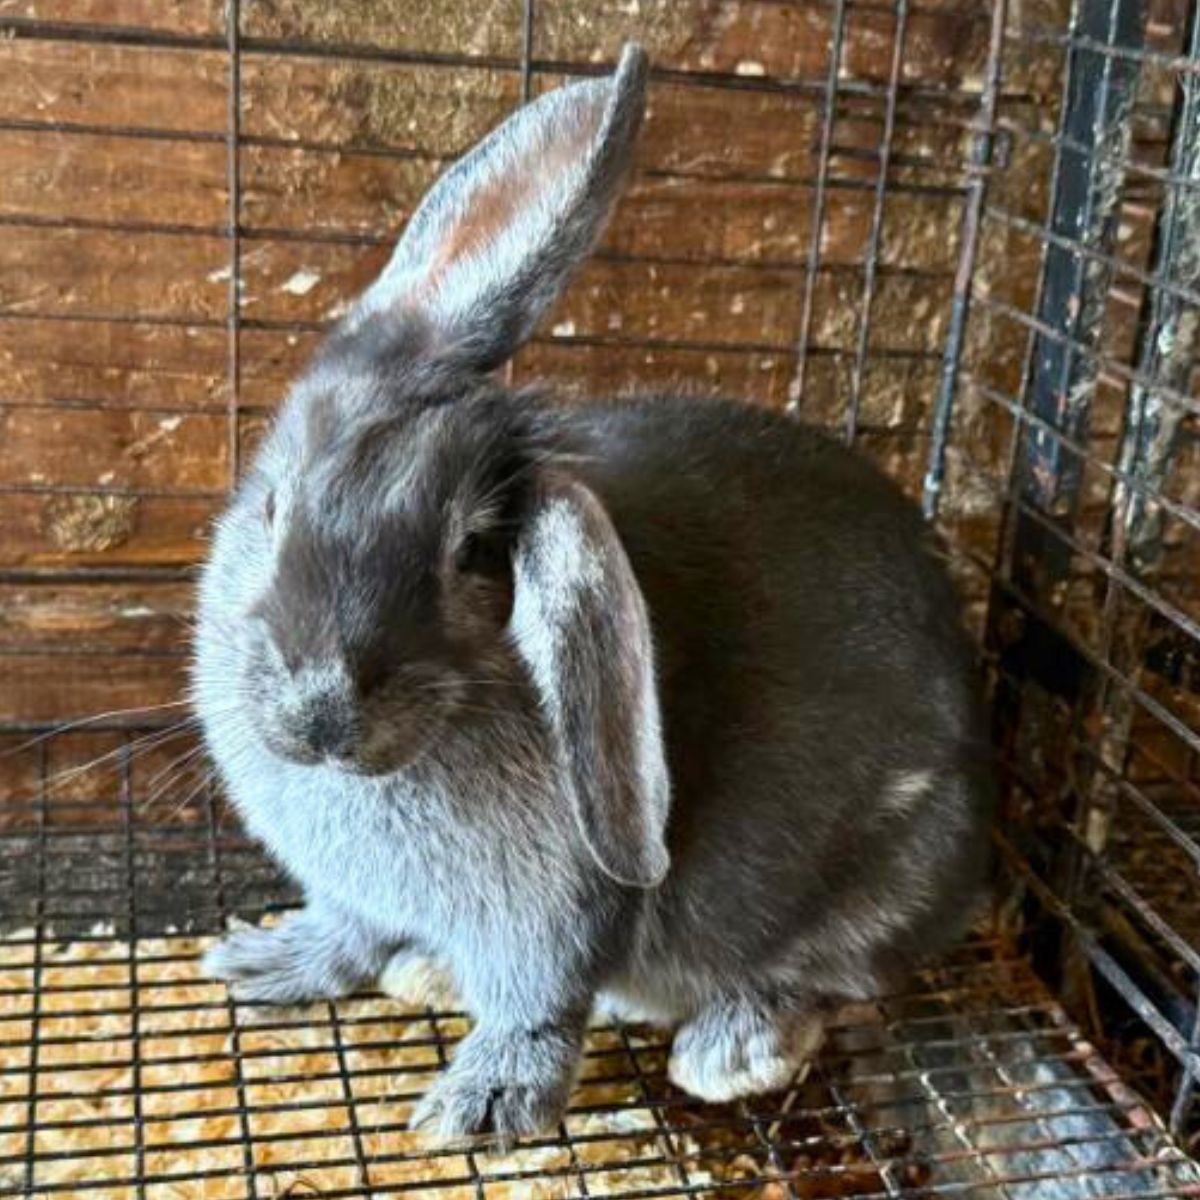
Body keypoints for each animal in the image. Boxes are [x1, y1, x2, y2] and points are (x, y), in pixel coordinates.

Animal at [195, 43, 994, 1144]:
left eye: (470, 557)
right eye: (272, 504)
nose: (320, 711)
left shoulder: (556, 912)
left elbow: (541, 999)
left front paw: (481, 1105)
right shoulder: (355, 897)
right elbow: (346, 935)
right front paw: (262, 959)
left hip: (898, 865)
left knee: (837, 973)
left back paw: (731, 1049)